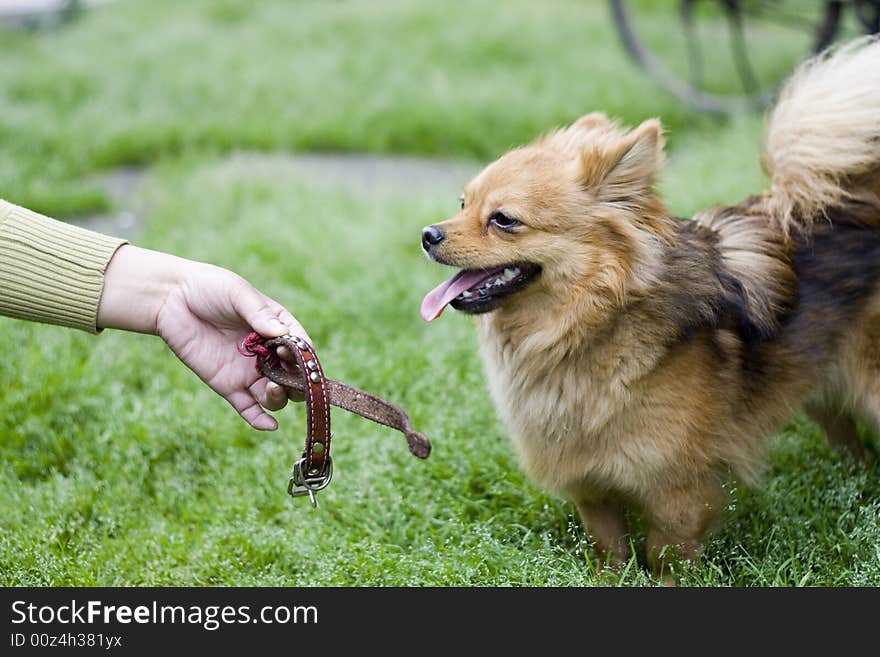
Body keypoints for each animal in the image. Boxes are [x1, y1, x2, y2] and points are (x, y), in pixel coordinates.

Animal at [418, 37, 880, 576]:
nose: (429, 234)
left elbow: (666, 558)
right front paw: (608, 580)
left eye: (504, 220)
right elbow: (609, 550)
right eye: (463, 204)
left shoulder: (676, 491)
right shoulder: (594, 489)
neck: (585, 329)